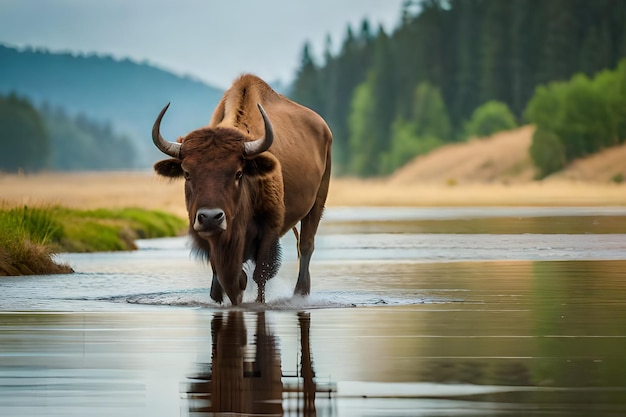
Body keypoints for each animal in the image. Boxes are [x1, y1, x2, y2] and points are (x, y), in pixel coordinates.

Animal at [151, 75, 332, 304]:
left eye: (238, 173)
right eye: (187, 173)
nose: (210, 217)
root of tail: (324, 129)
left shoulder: (268, 230)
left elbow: (259, 276)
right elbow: (225, 280)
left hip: (317, 203)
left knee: (307, 245)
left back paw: (300, 294)